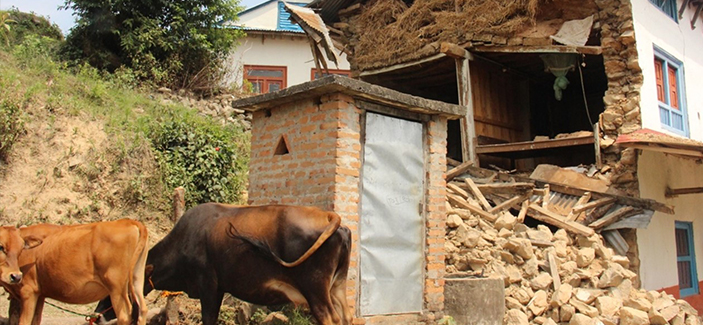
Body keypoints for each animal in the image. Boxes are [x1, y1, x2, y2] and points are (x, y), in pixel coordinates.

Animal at [0, 218, 148, 324]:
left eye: (21, 248)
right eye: (2, 247)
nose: (16, 276)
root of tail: (127, 221)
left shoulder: (28, 292)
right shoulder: (39, 294)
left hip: (116, 287)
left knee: (124, 315)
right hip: (136, 279)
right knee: (142, 310)